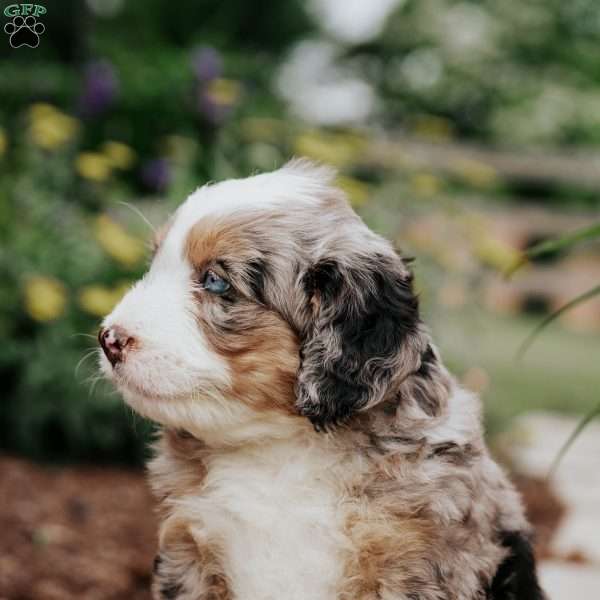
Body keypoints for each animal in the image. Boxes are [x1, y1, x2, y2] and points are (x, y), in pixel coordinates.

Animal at [99, 159, 544, 600]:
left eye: (215, 281)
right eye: (154, 265)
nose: (108, 338)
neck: (278, 450)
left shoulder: (417, 564)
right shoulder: (189, 550)